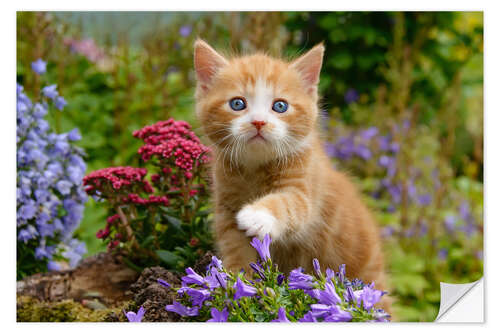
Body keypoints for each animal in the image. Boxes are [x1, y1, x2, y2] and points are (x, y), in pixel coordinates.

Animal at [193, 39, 392, 312]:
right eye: (237, 104)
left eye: (280, 106)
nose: (258, 122)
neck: (255, 168)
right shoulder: (226, 206)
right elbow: (235, 247)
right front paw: (236, 288)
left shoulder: (305, 184)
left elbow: (290, 203)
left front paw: (257, 215)